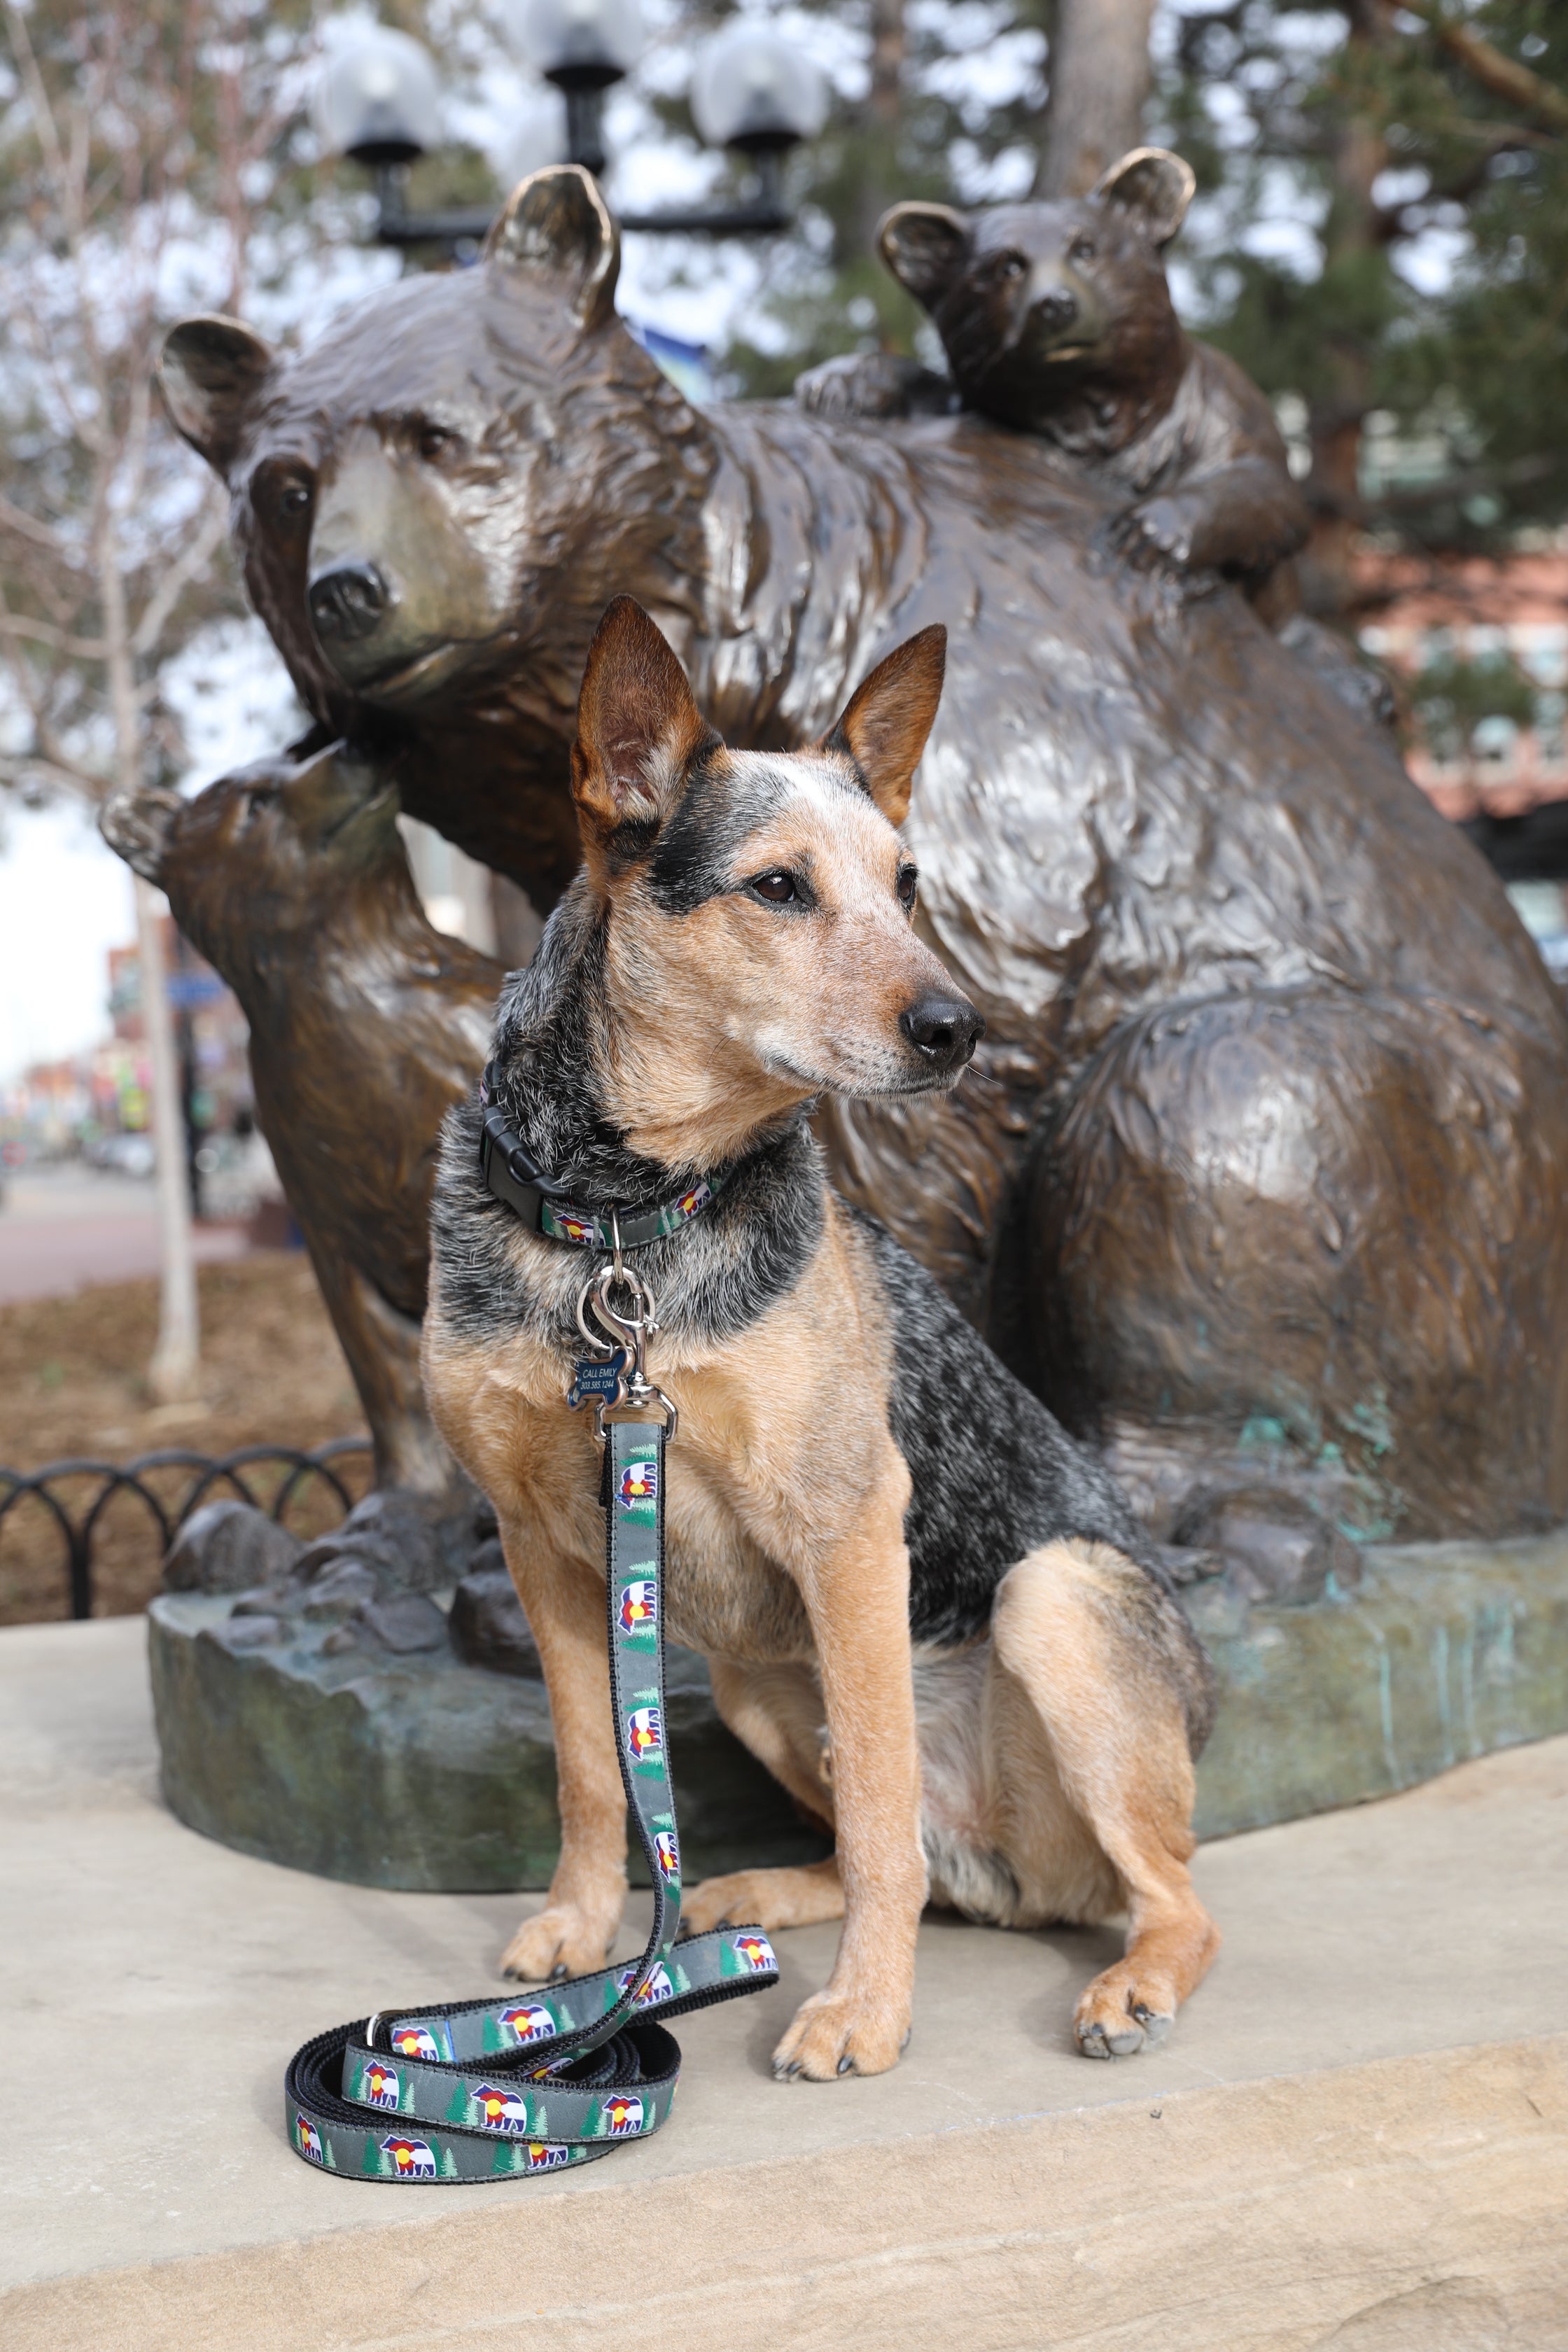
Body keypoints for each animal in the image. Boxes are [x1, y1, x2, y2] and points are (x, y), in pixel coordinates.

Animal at [423, 597, 1222, 2088]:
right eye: (778, 889)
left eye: (908, 886)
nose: (960, 1028)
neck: (623, 1225)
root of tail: (1018, 1874)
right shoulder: (540, 1542)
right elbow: (588, 1769)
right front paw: (584, 1929)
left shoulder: (849, 1522)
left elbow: (879, 1817)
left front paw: (866, 2010)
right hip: (750, 1682)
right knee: (895, 1848)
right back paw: (741, 1898)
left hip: (1052, 1602)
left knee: (1150, 1892)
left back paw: (1131, 1982)